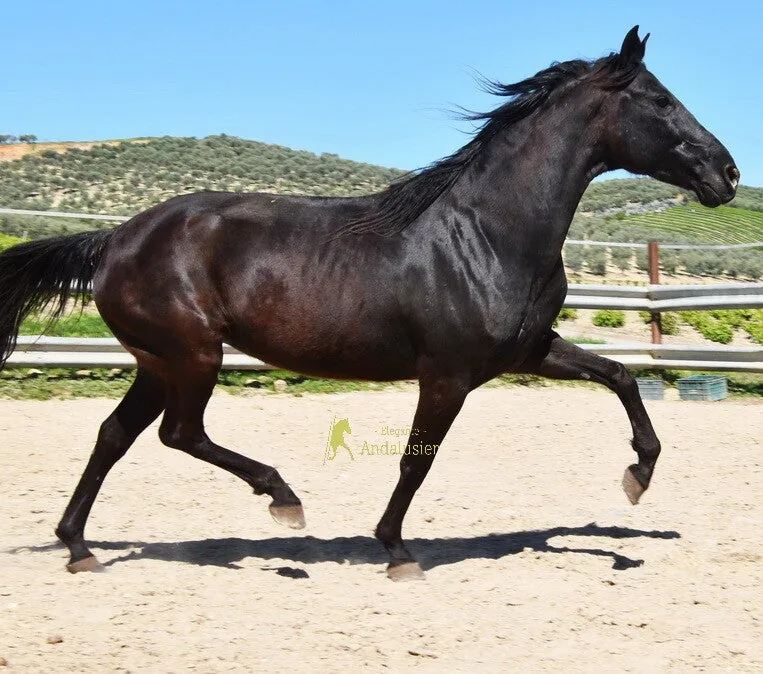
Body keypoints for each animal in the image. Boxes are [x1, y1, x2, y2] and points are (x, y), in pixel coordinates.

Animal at [0, 27, 738, 580]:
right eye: (661, 101)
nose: (727, 174)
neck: (486, 232)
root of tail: (114, 239)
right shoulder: (446, 374)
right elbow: (418, 459)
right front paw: (396, 549)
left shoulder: (527, 351)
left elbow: (621, 376)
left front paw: (637, 477)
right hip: (192, 355)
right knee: (178, 434)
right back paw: (284, 500)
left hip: (159, 362)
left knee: (115, 435)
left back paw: (79, 547)